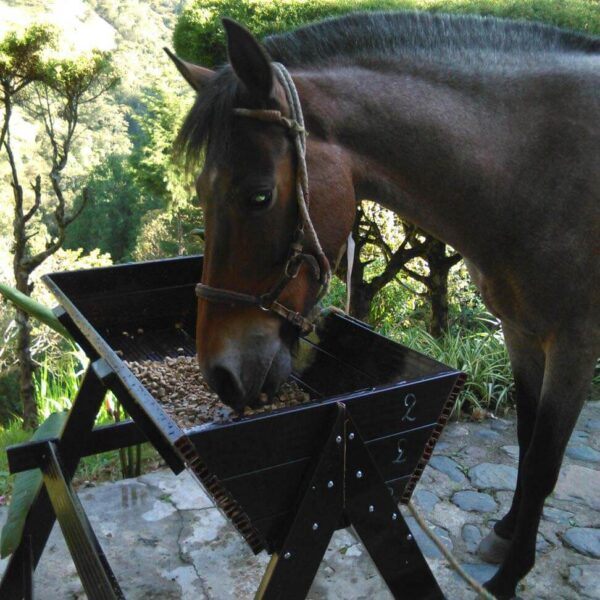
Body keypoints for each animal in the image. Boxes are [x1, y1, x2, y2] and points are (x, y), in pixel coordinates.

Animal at [166, 12, 596, 600]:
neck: (536, 171)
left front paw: (510, 576)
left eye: (258, 196)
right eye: (202, 195)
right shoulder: (521, 333)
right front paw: (507, 533)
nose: (220, 375)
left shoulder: (574, 344)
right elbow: (527, 440)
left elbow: (542, 462)